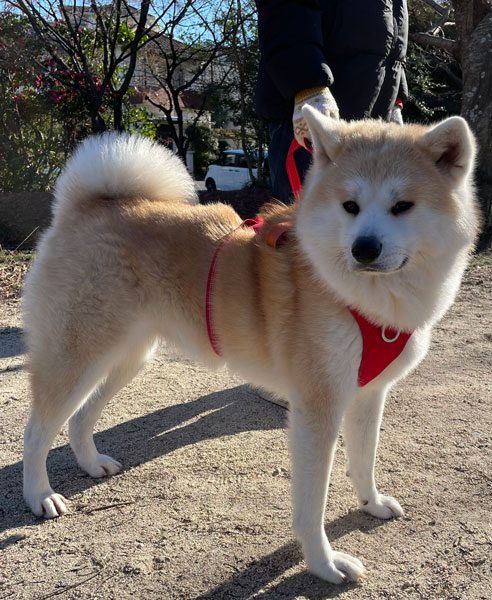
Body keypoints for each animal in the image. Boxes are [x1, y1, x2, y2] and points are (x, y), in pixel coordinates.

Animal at [21, 105, 478, 584]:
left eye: (403, 206)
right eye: (349, 206)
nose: (364, 249)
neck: (357, 296)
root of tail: (88, 204)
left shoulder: (368, 394)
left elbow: (364, 460)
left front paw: (370, 504)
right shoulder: (317, 410)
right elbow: (312, 505)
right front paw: (324, 564)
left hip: (126, 357)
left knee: (80, 417)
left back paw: (91, 464)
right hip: (78, 356)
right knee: (37, 430)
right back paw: (40, 496)